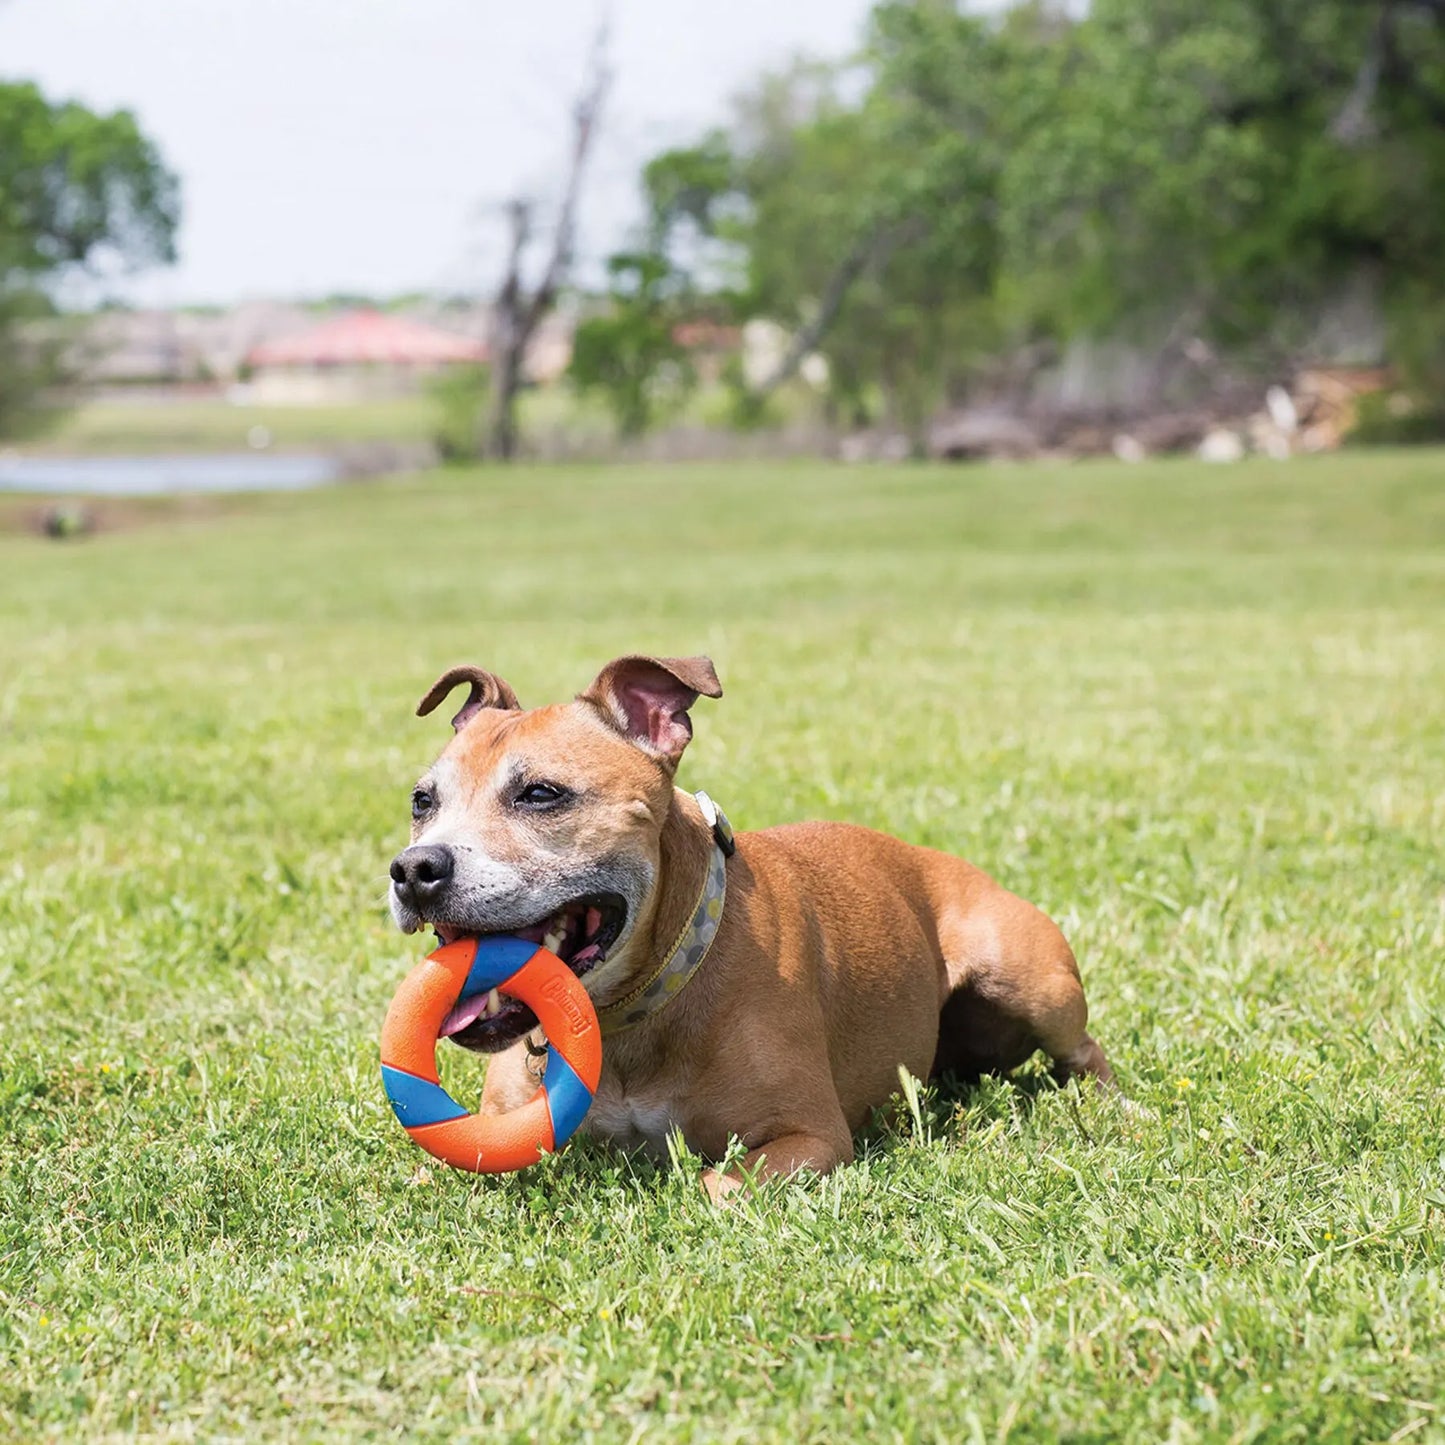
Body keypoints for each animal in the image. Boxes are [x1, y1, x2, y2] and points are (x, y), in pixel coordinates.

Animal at [390, 656, 1109, 1196]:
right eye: (422, 801)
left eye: (540, 794)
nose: (414, 869)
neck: (634, 1013)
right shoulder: (493, 1127)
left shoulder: (809, 1136)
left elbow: (715, 1183)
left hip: (1024, 977)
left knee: (1083, 1050)